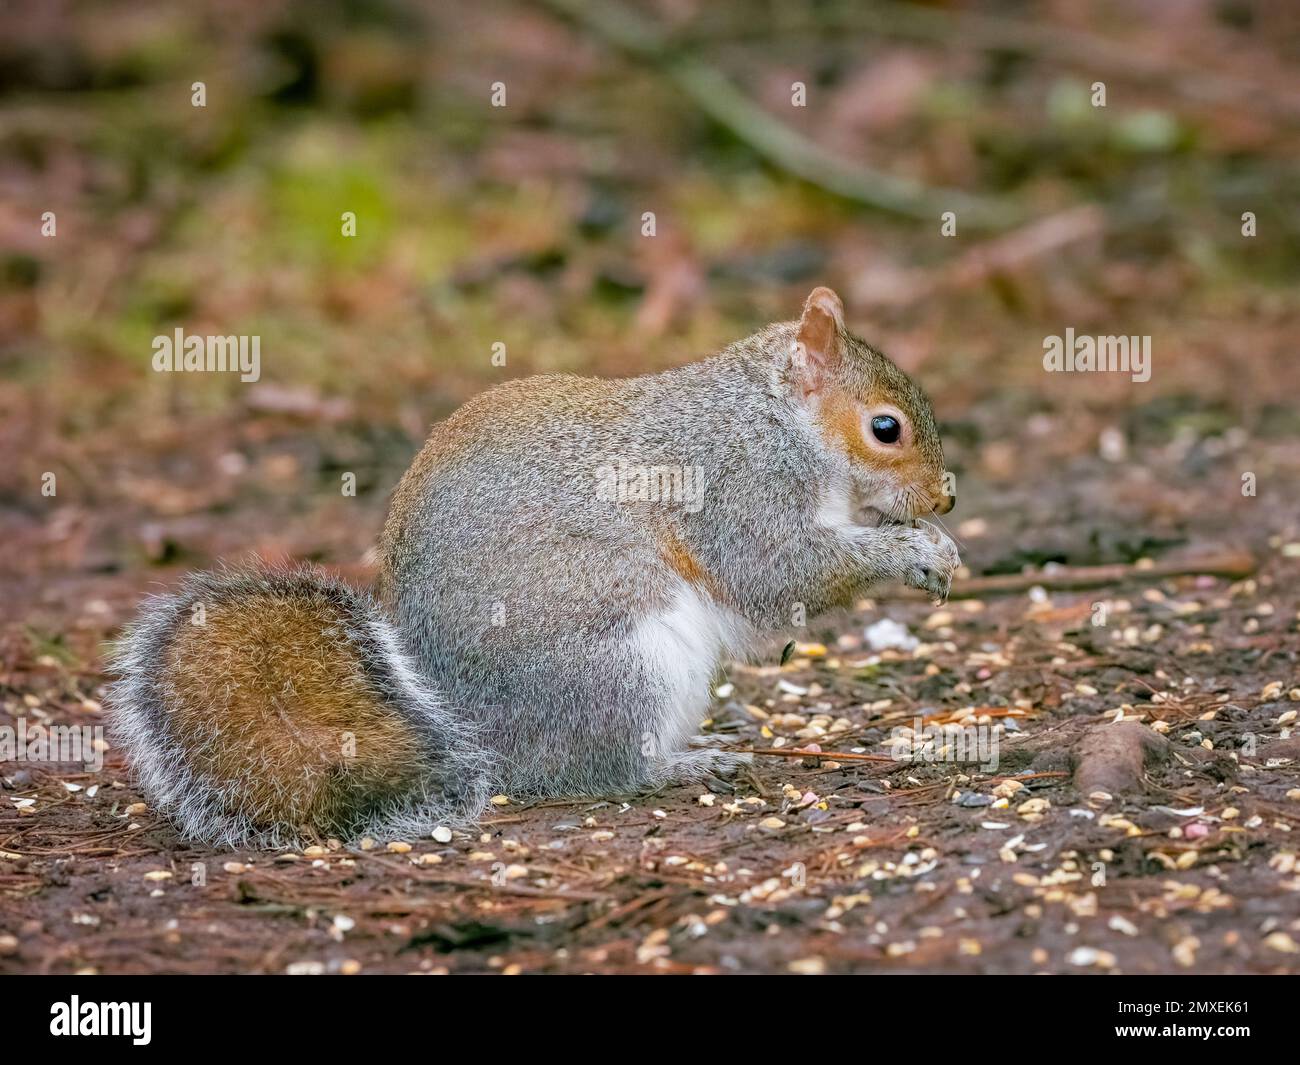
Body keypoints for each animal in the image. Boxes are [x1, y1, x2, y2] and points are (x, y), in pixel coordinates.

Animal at [106, 284, 961, 847]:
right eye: (886, 428)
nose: (945, 497)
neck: (779, 419)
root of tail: (466, 722)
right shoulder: (735, 482)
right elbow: (776, 573)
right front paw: (909, 549)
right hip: (623, 661)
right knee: (606, 767)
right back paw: (688, 763)